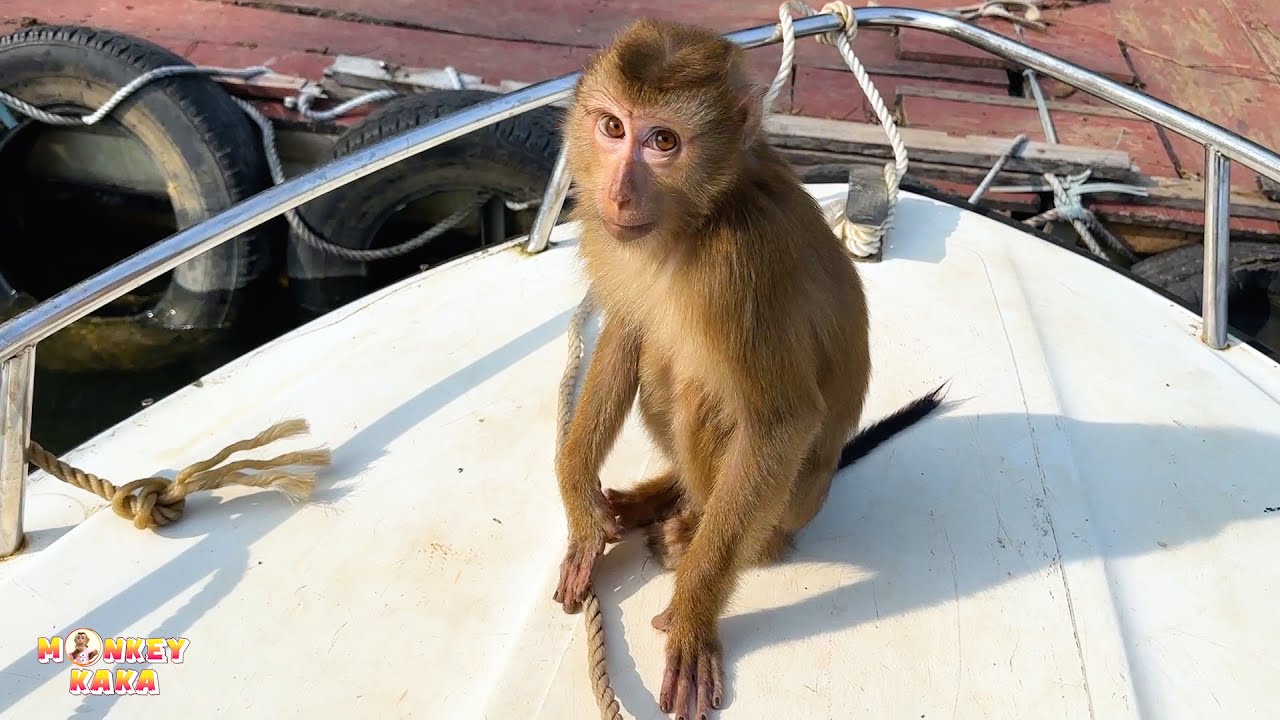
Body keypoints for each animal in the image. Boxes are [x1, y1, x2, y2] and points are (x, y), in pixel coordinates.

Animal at [550, 18, 947, 720]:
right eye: (613, 128)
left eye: (663, 141)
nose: (618, 193)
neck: (696, 219)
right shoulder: (613, 238)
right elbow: (625, 333)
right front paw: (581, 512)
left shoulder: (739, 269)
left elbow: (779, 423)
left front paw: (694, 615)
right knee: (662, 361)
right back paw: (660, 497)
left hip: (791, 505)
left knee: (701, 394)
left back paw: (712, 536)